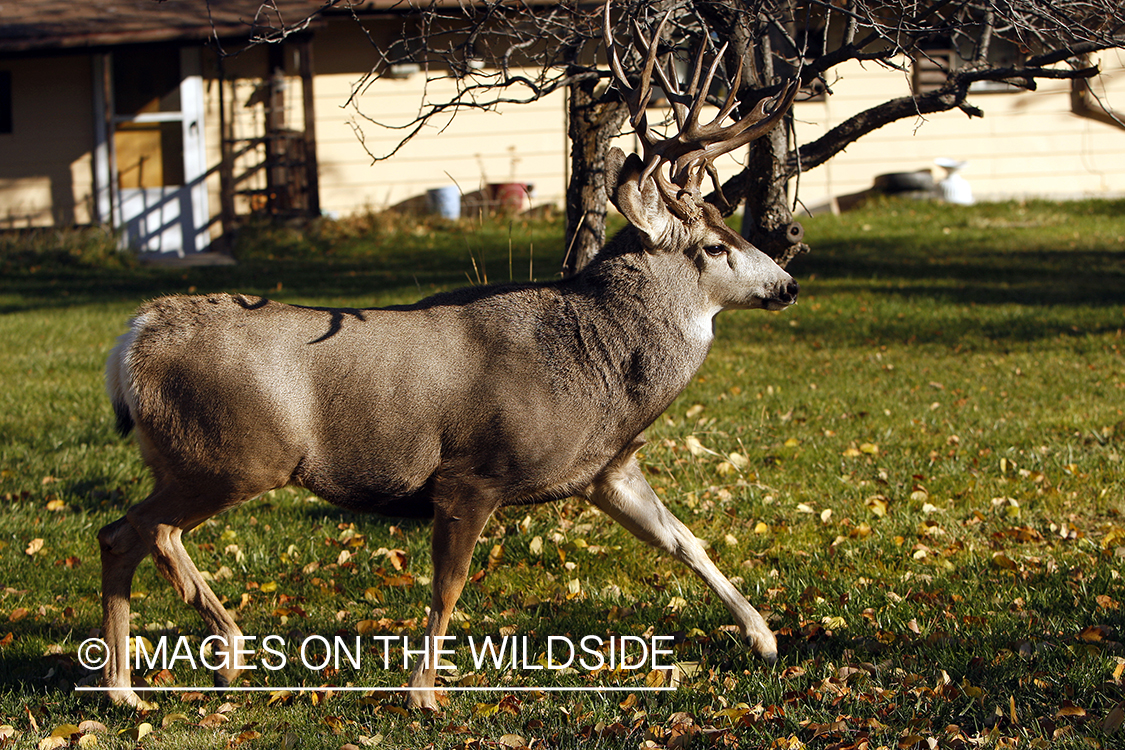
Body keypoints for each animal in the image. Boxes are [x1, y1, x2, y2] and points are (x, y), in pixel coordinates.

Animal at [99, 3, 799, 711]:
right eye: (714, 246)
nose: (788, 284)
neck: (597, 369)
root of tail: (134, 337)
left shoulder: (605, 470)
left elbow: (686, 541)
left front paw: (764, 637)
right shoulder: (472, 474)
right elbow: (449, 587)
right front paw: (422, 694)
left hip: (192, 460)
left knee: (121, 534)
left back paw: (133, 687)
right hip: (231, 456)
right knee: (146, 531)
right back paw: (216, 653)